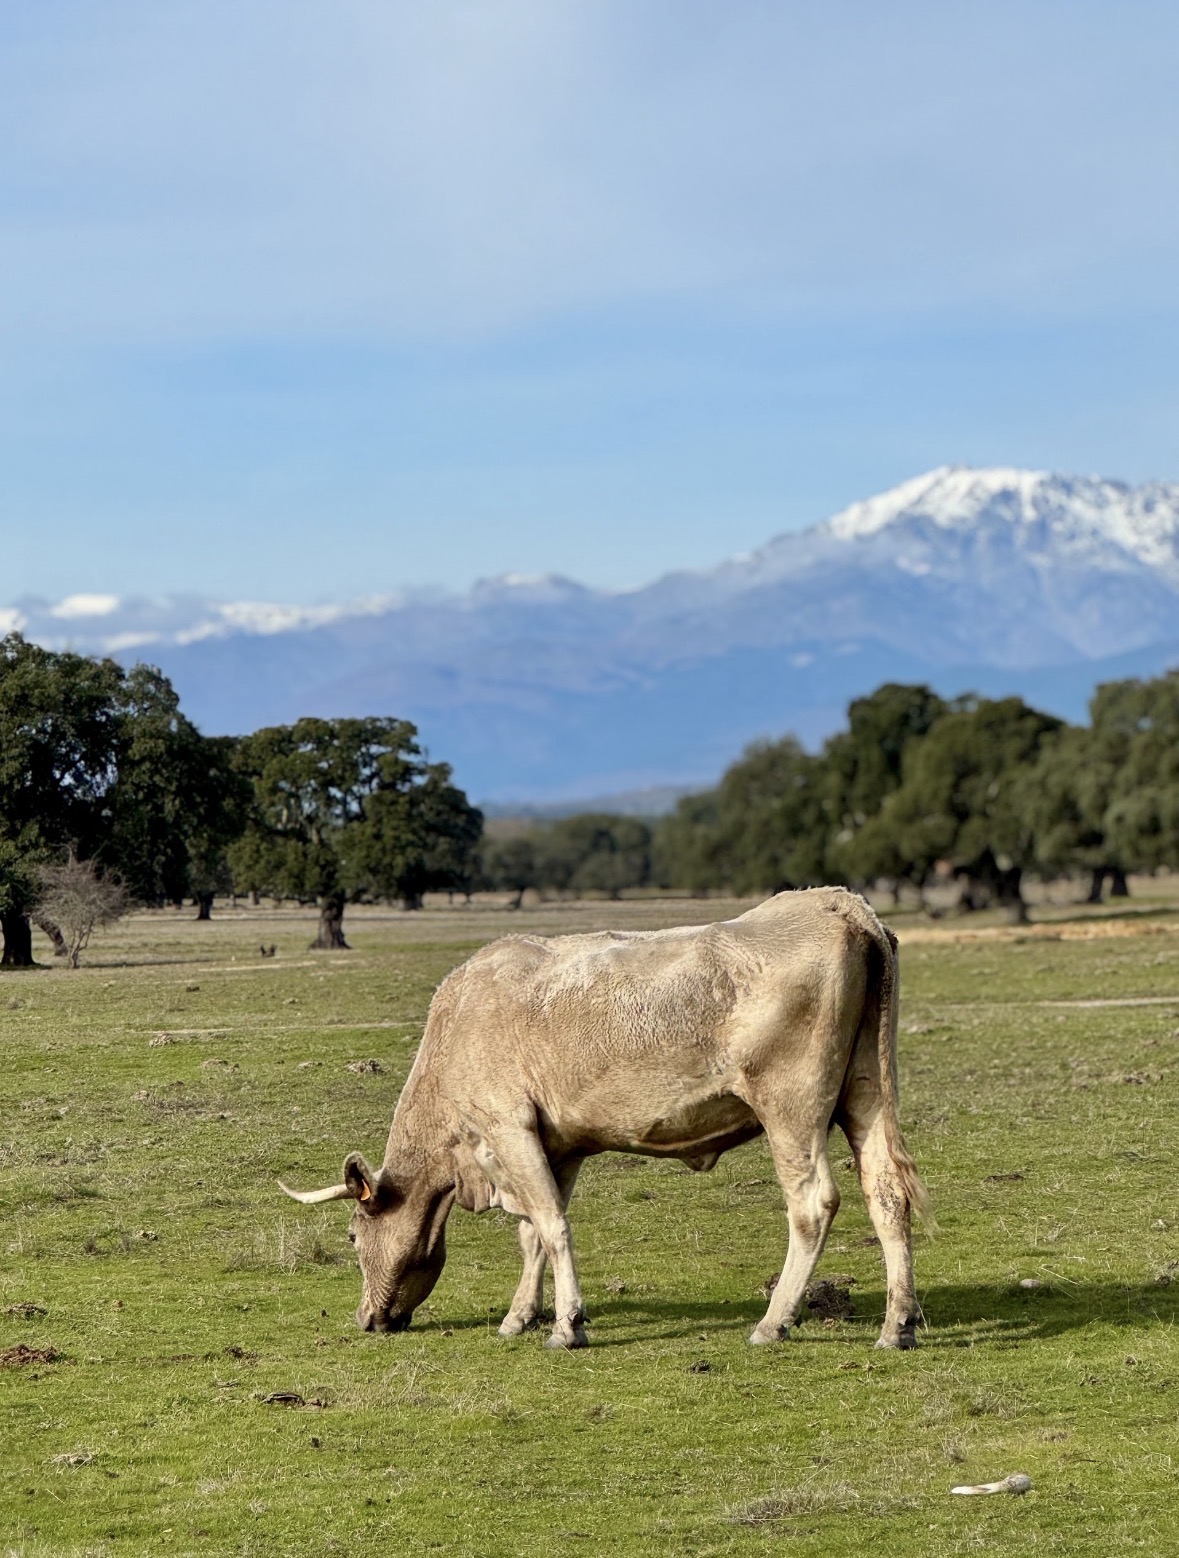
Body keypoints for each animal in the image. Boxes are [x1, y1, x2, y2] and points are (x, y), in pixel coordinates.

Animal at [281, 887, 932, 1350]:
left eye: (352, 1235)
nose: (367, 1318)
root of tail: (840, 904)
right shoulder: (557, 1145)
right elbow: (534, 1233)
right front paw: (520, 1316)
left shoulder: (508, 1129)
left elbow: (550, 1224)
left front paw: (567, 1325)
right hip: (865, 1095)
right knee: (886, 1193)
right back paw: (897, 1323)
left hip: (789, 1107)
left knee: (813, 1203)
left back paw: (774, 1322)